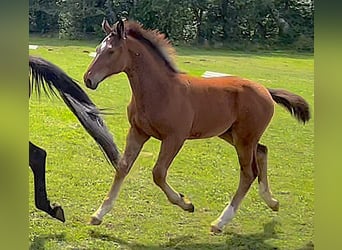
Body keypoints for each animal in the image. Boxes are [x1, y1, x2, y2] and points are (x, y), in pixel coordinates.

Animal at [83, 19, 310, 232]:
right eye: (97, 49)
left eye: (111, 51)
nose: (88, 79)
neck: (160, 91)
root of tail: (265, 90)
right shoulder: (138, 132)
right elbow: (122, 167)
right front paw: (98, 214)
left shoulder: (175, 137)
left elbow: (158, 173)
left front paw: (185, 203)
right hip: (231, 134)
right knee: (262, 151)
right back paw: (272, 202)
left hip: (244, 139)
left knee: (248, 173)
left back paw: (220, 222)